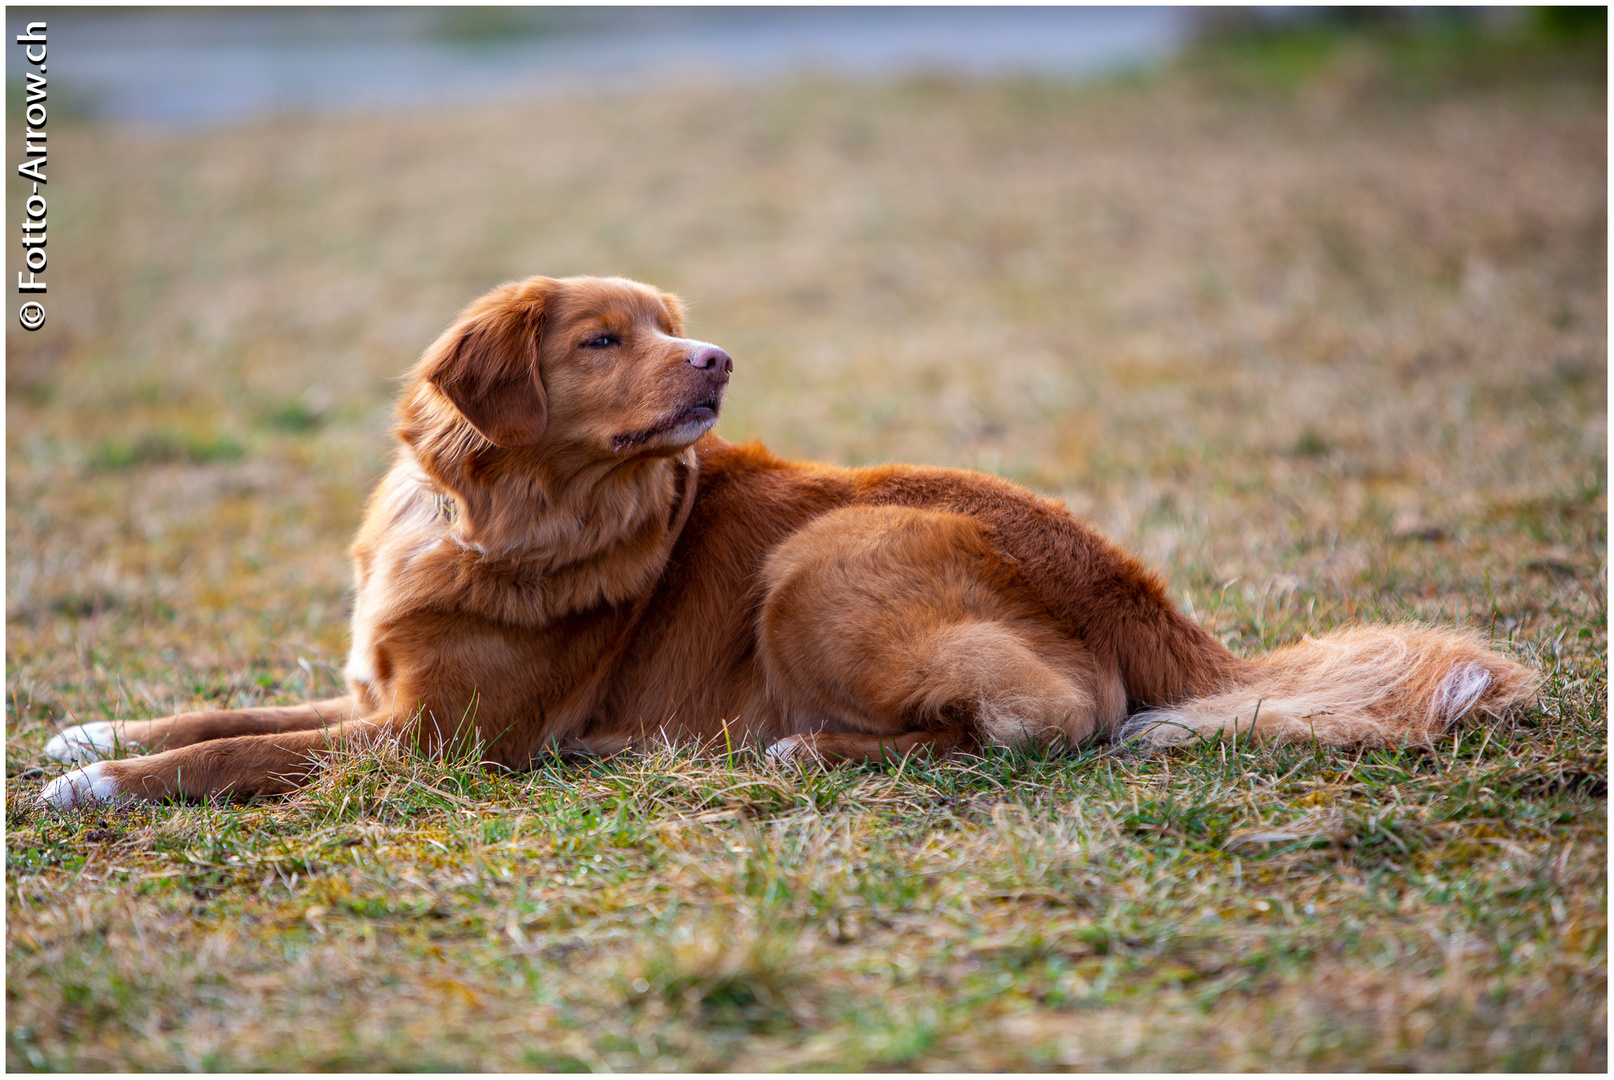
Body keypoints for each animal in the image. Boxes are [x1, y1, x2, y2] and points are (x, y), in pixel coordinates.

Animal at [44, 274, 1542, 803]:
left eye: (667, 324)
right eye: (604, 339)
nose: (716, 358)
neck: (491, 515)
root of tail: (1155, 608)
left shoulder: (437, 739)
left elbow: (238, 753)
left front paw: (98, 790)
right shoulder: (374, 695)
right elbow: (221, 712)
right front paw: (89, 736)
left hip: (820, 559)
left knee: (1051, 722)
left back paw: (801, 748)